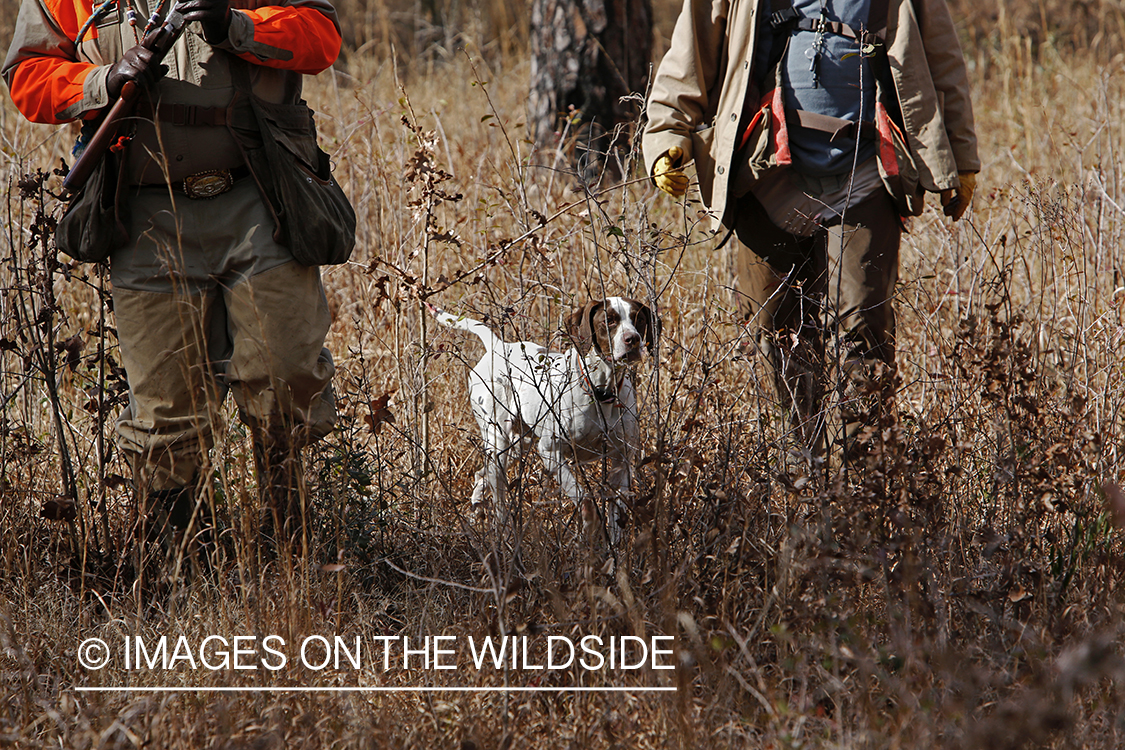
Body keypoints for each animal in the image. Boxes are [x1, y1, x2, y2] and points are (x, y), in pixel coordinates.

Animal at [429, 299, 657, 546]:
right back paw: (503, 535)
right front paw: (590, 530)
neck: (601, 391)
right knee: (499, 499)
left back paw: (474, 517)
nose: (633, 339)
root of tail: (498, 346)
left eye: (638, 319)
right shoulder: (550, 451)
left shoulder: (621, 460)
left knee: (481, 475)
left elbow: (617, 514)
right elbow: (584, 499)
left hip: (519, 443)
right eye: (609, 320)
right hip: (499, 442)